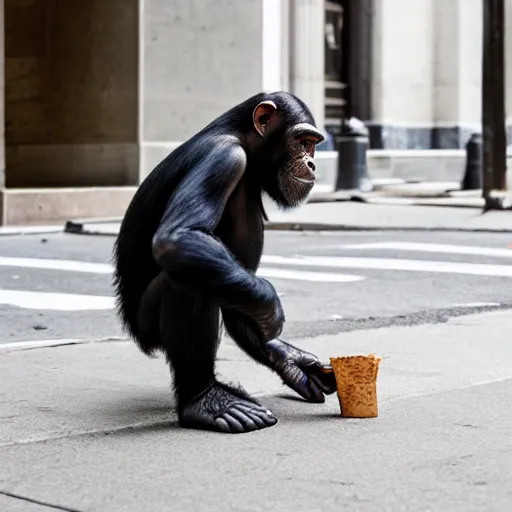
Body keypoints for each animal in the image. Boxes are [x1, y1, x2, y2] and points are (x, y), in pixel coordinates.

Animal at [112, 91, 336, 432]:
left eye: (313, 143)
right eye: (303, 141)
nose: (311, 162)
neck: (242, 138)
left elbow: (242, 288)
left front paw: (290, 359)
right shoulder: (226, 159)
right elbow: (177, 238)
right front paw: (272, 307)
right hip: (148, 328)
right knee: (184, 281)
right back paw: (205, 400)